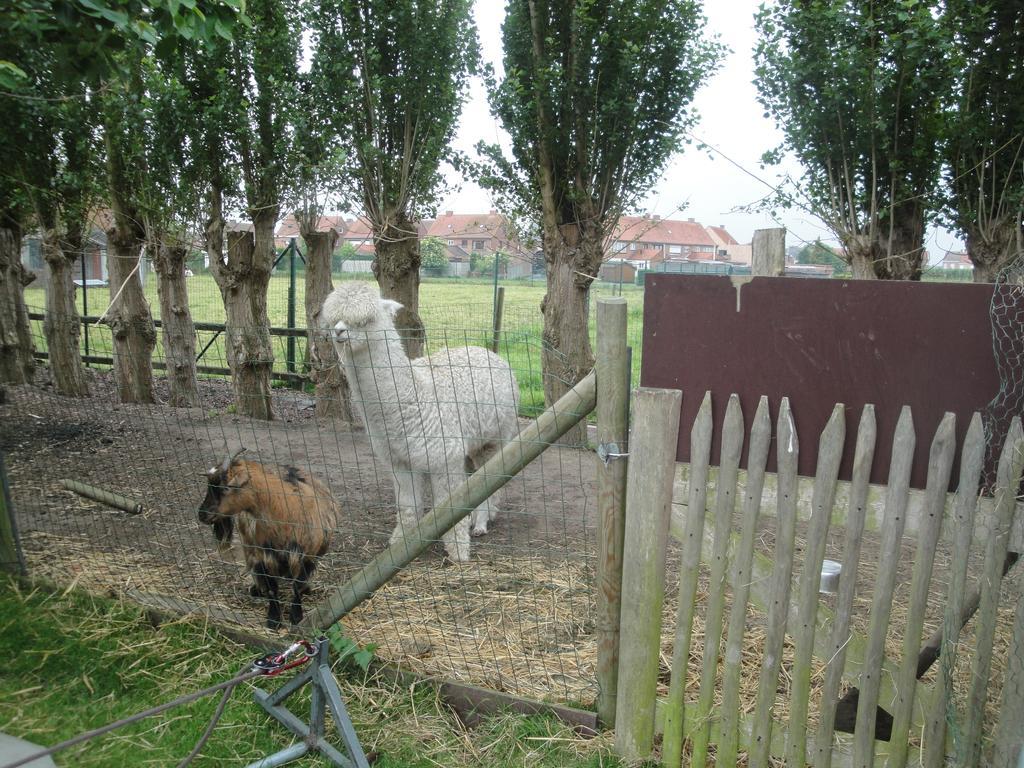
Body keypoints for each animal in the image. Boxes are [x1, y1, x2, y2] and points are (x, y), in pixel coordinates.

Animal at [200, 454, 339, 626]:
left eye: (225, 487)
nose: (202, 514)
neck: (285, 511)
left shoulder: (307, 555)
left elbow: (297, 587)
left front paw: (296, 616)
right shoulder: (264, 554)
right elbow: (272, 587)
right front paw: (273, 619)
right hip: (249, 544)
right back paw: (257, 589)